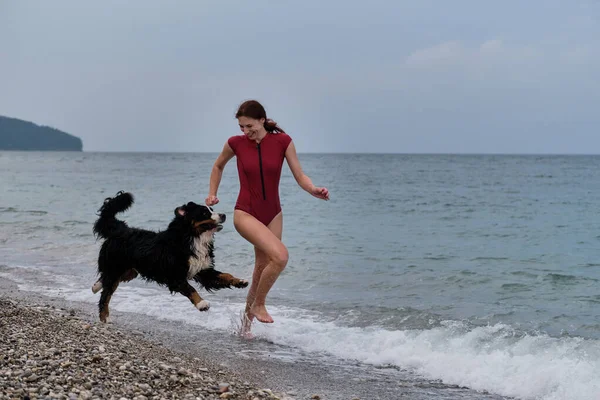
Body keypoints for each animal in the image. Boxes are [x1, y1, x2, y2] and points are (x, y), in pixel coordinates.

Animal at [89, 189, 248, 324]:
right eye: (204, 213)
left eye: (212, 210)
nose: (223, 215)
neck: (192, 237)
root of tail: (120, 229)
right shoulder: (175, 276)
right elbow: (190, 288)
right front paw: (202, 304)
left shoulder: (203, 270)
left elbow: (224, 275)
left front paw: (240, 281)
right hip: (116, 267)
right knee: (106, 294)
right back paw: (105, 317)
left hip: (129, 271)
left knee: (107, 280)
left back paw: (95, 286)